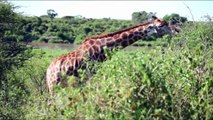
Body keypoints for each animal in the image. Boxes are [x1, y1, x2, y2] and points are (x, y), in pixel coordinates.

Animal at [45, 16, 174, 94]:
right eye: (161, 25)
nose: (175, 30)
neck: (103, 48)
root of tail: (48, 70)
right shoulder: (91, 72)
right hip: (53, 84)